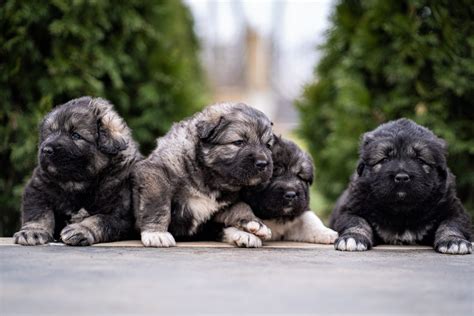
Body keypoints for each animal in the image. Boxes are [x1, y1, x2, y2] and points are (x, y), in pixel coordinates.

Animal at [332, 118, 472, 254]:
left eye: (420, 160)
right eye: (384, 159)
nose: (402, 178)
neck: (401, 210)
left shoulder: (453, 209)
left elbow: (451, 224)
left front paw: (454, 241)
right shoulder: (351, 209)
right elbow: (357, 221)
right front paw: (353, 237)